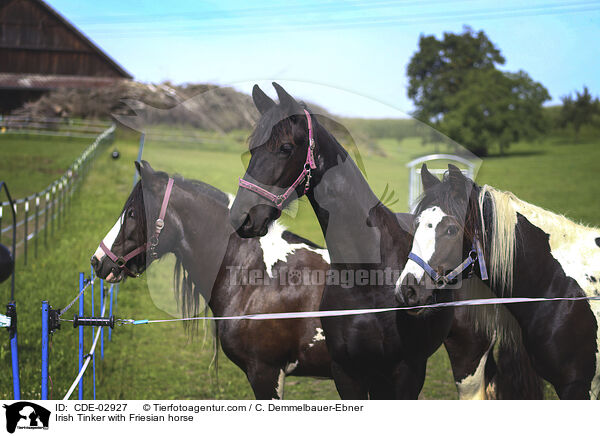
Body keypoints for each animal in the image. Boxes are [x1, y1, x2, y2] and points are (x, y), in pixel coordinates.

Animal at [227, 82, 540, 398]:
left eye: (286, 148)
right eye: (252, 149)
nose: (242, 217)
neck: (368, 275)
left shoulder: (407, 372)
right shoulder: (348, 372)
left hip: (469, 355)